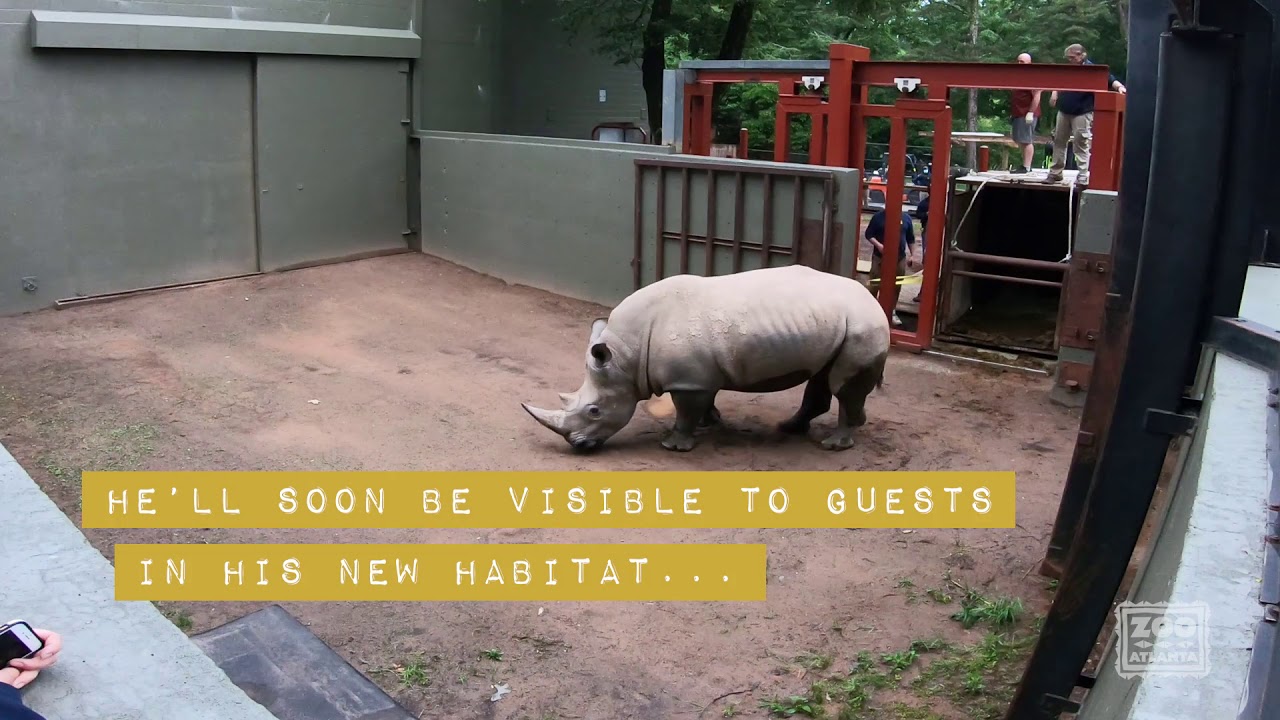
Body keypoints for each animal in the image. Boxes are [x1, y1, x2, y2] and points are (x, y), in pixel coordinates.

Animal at [521, 263, 891, 452]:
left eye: (594, 411)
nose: (578, 446)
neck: (627, 356)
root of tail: (873, 300)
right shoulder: (696, 376)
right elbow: (704, 401)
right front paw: (708, 423)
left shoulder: (688, 380)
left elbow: (685, 409)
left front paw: (674, 445)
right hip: (838, 326)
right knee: (823, 375)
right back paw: (790, 428)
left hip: (862, 325)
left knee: (841, 383)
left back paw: (834, 444)